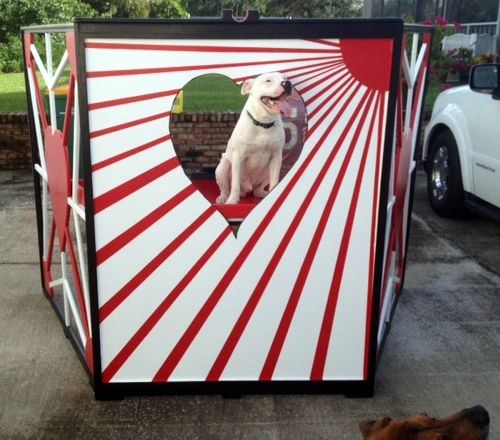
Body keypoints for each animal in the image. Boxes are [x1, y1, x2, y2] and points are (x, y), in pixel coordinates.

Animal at [214, 72, 292, 205]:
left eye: (285, 78)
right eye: (268, 80)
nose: (287, 83)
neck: (263, 124)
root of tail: (247, 189)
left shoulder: (276, 156)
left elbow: (275, 180)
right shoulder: (238, 156)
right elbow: (235, 183)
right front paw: (232, 201)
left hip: (266, 170)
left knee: (257, 188)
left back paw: (262, 193)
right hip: (223, 167)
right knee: (226, 187)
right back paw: (224, 198)